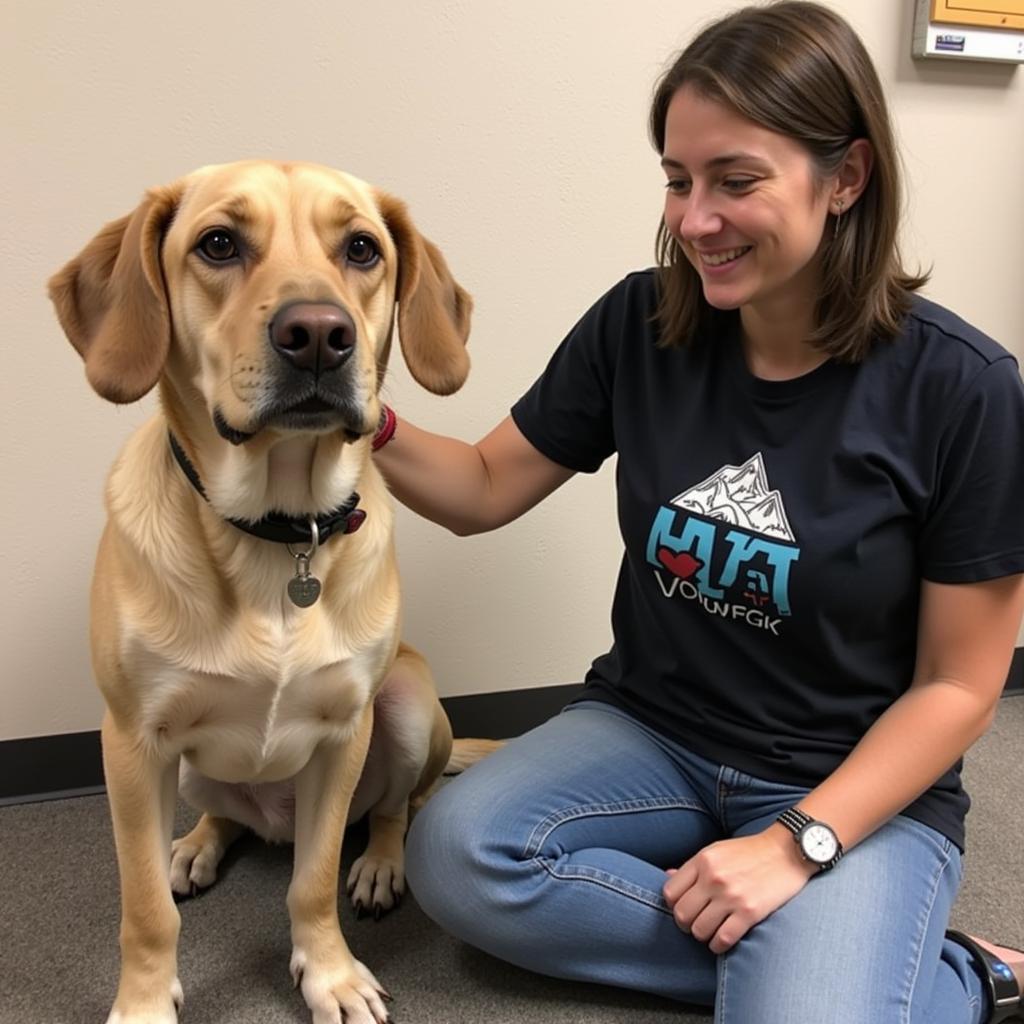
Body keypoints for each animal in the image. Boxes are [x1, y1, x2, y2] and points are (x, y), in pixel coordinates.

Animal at [49, 159, 489, 1024]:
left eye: (362, 248)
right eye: (218, 243)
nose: (318, 333)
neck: (278, 533)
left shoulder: (344, 731)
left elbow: (311, 885)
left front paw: (330, 976)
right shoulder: (132, 743)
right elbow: (144, 909)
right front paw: (144, 1002)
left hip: (406, 705)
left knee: (396, 809)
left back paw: (381, 864)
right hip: (186, 768)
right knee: (221, 814)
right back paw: (195, 846)